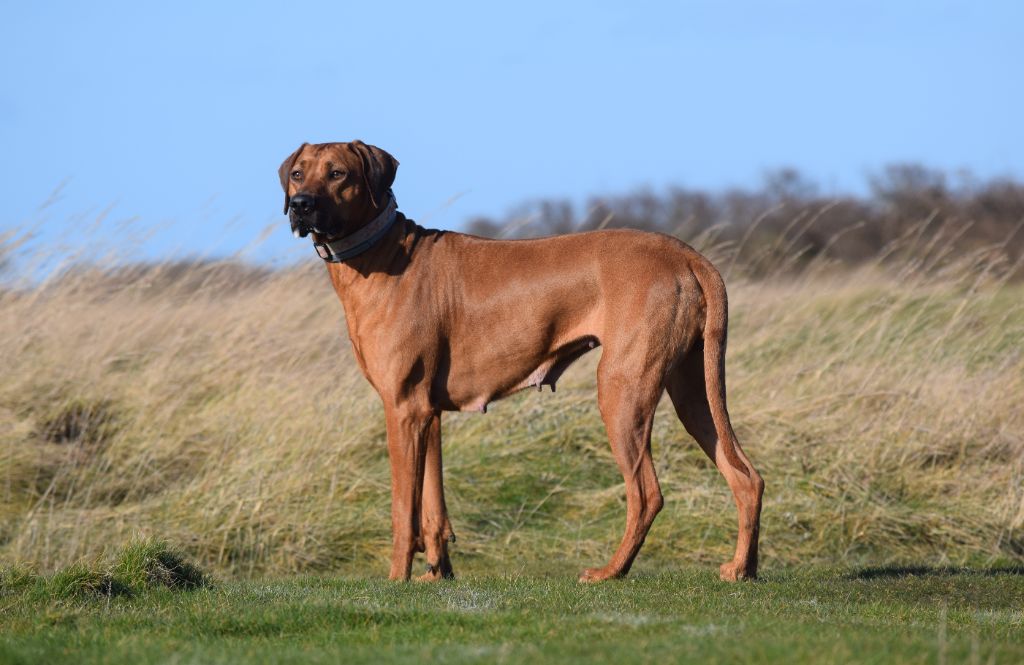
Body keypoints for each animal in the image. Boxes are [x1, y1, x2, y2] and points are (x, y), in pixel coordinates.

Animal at [278, 140, 761, 582]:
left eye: (338, 174)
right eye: (298, 174)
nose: (300, 206)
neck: (384, 254)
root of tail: (687, 254)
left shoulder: (403, 408)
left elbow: (403, 510)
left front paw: (398, 580)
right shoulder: (427, 413)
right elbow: (433, 505)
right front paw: (437, 573)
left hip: (622, 390)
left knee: (647, 494)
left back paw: (611, 571)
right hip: (694, 392)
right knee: (746, 476)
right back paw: (742, 568)